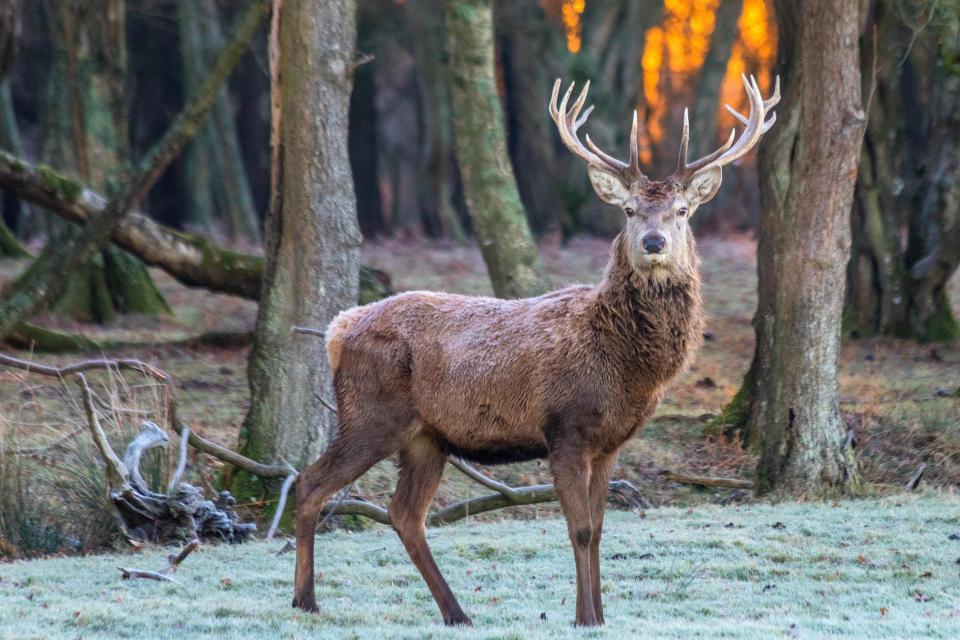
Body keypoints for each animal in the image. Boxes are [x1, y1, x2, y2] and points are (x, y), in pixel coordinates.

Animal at [292, 74, 780, 624]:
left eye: (682, 210)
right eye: (629, 210)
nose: (654, 242)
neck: (626, 365)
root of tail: (338, 329)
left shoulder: (609, 442)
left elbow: (599, 531)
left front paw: (598, 616)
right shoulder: (564, 426)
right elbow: (580, 529)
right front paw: (585, 617)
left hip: (426, 438)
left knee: (405, 514)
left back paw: (456, 612)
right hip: (370, 415)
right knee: (310, 483)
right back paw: (305, 600)